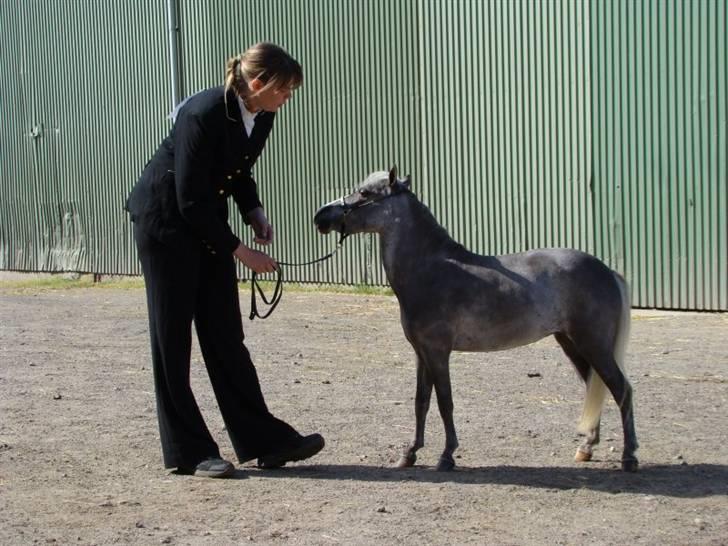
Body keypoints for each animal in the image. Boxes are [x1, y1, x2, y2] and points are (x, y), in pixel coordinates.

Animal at [312, 166, 636, 468]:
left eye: (364, 193)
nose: (320, 216)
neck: (430, 269)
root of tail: (607, 271)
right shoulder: (421, 353)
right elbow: (421, 401)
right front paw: (410, 453)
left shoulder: (438, 352)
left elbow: (445, 402)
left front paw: (447, 455)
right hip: (573, 344)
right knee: (598, 387)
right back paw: (586, 448)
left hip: (594, 345)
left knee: (622, 390)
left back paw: (629, 457)